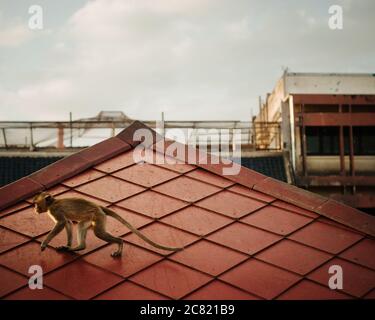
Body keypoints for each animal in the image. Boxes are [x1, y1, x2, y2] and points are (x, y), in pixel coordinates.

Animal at [33, 192, 183, 258]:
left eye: (36, 204)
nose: (35, 209)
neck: (52, 203)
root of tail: (99, 207)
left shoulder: (55, 210)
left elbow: (62, 223)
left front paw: (44, 243)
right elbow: (68, 223)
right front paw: (66, 246)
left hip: (98, 217)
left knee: (98, 233)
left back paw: (119, 243)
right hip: (92, 217)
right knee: (81, 226)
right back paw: (80, 247)